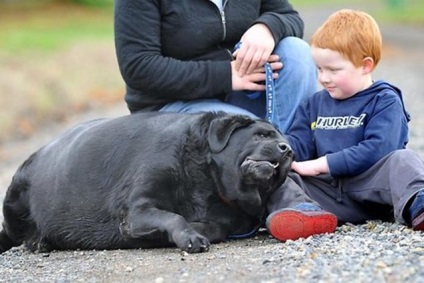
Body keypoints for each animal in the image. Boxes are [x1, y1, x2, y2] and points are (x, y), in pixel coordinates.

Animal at [0, 112, 294, 254]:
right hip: (13, 199)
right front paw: (189, 235)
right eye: (262, 135)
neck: (207, 180)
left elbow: (211, 226)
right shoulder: (136, 210)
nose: (288, 150)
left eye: (285, 143)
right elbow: (174, 217)